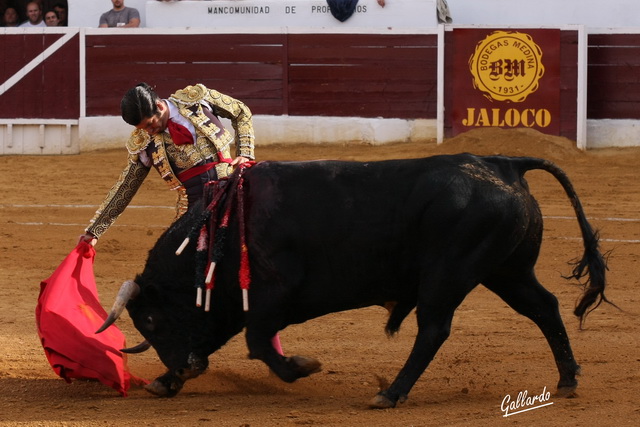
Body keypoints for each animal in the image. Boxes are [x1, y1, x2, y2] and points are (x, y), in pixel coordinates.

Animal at [99, 155, 604, 410]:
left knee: (433, 329)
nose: (184, 369)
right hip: (508, 271)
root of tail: (505, 165)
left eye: (151, 320)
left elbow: (259, 342)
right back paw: (567, 378)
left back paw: (390, 393)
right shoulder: (237, 307)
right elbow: (231, 338)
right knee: (544, 306)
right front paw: (164, 382)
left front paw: (301, 367)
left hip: (449, 274)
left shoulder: (272, 293)